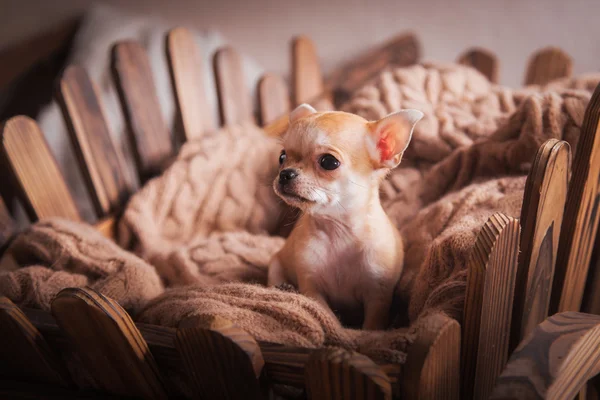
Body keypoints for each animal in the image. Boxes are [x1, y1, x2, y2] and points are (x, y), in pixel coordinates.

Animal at [270, 104, 424, 332]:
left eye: (328, 162)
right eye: (281, 157)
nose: (285, 174)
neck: (338, 230)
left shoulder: (378, 296)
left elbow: (372, 326)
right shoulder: (312, 287)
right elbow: (328, 316)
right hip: (276, 263)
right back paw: (284, 287)